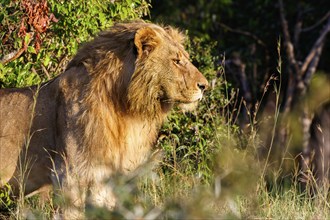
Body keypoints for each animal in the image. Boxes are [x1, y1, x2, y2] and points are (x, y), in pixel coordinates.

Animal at [0, 20, 208, 218]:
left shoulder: (108, 177)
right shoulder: (69, 174)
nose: (205, 86)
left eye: (185, 58)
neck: (124, 109)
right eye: (176, 61)